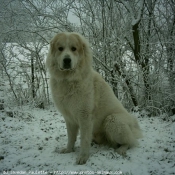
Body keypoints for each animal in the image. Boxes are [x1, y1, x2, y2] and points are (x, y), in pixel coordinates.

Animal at [46, 31, 142, 164]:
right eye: (60, 48)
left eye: (73, 49)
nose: (67, 60)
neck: (69, 80)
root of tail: (133, 122)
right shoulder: (69, 118)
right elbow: (71, 137)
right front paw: (69, 150)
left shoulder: (85, 117)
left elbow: (84, 140)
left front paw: (83, 157)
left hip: (112, 120)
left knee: (131, 141)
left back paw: (122, 149)